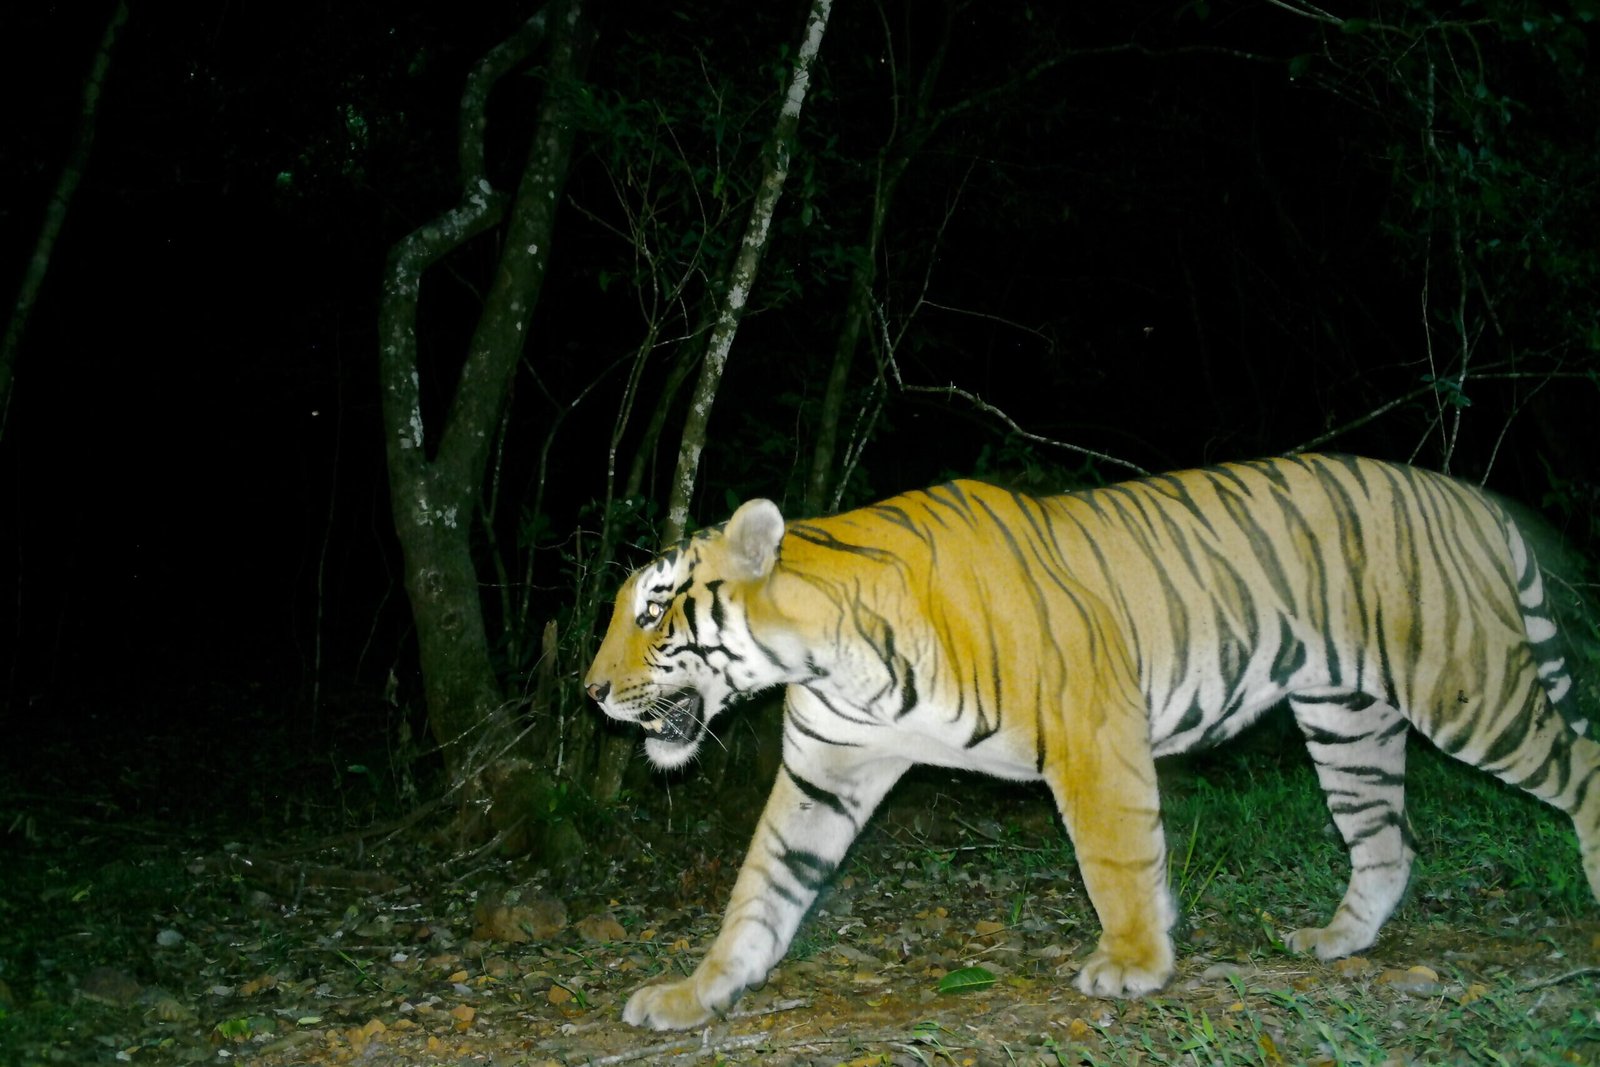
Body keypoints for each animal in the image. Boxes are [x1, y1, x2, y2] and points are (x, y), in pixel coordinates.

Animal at [584, 453, 1600, 1031]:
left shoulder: (1092, 726)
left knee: (1581, 765)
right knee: (1387, 839)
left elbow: (1116, 857)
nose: (589, 690)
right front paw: (695, 995)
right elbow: (761, 891)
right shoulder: (825, 772)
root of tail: (1472, 499)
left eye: (652, 610)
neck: (829, 652)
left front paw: (1134, 964)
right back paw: (1336, 940)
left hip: (1466, 685)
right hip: (1347, 717)